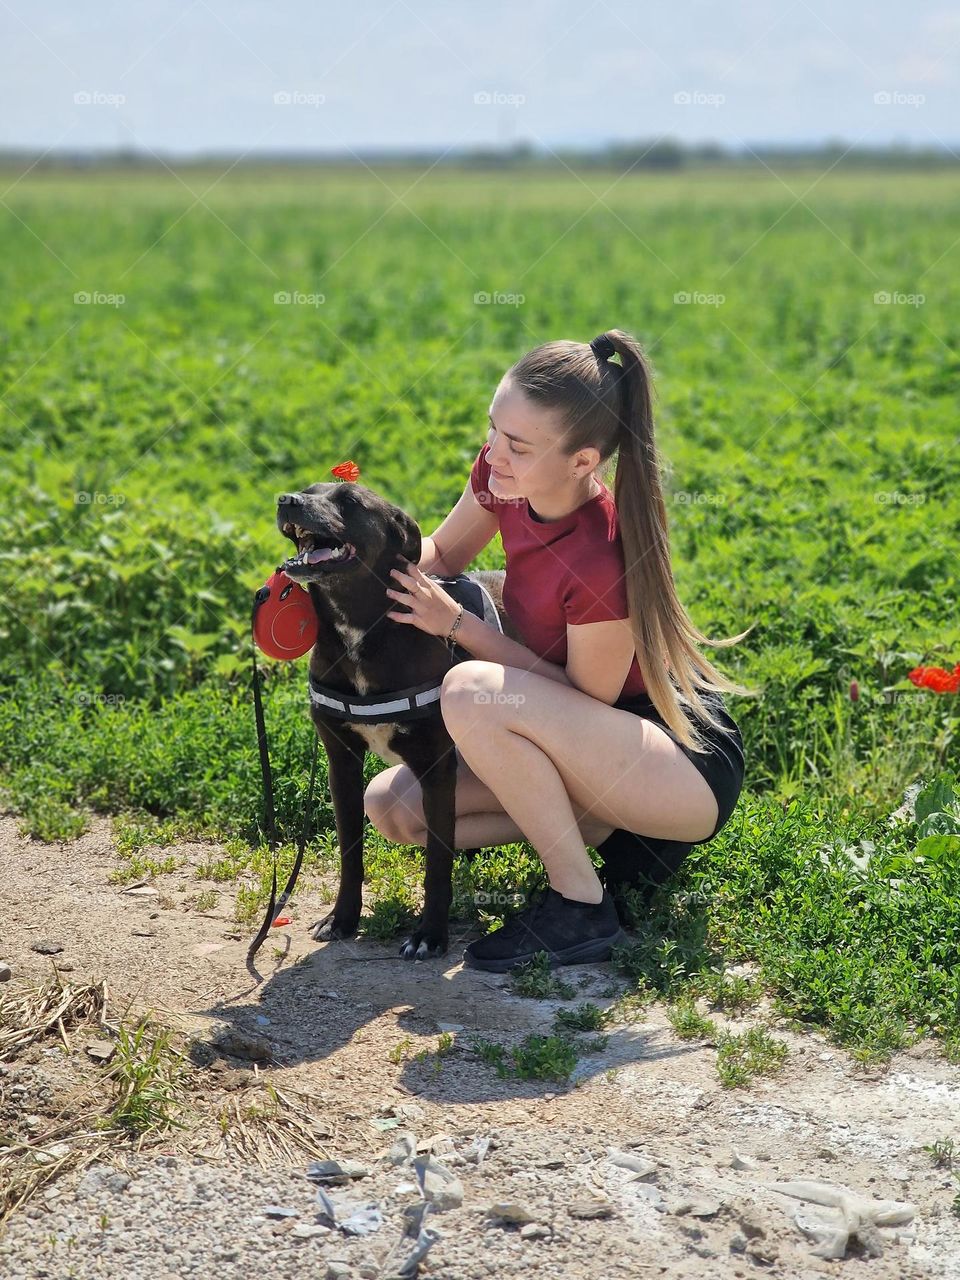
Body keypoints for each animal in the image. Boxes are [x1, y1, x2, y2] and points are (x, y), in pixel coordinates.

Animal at [277, 481, 519, 962]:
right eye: (309, 490)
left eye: (349, 501)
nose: (286, 500)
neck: (359, 629)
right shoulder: (342, 763)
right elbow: (350, 851)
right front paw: (342, 918)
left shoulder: (436, 769)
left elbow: (436, 861)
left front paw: (430, 933)